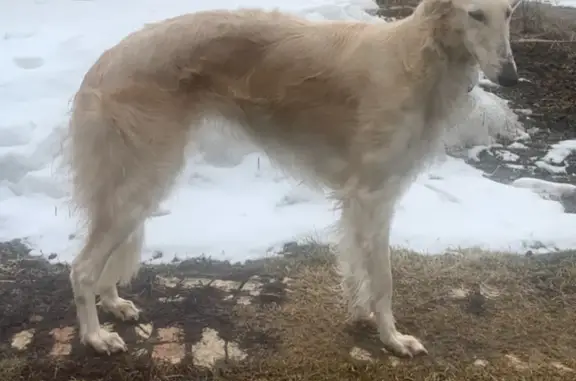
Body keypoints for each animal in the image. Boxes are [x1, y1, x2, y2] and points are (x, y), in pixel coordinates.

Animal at [66, 0, 520, 358]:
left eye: (510, 11)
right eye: (475, 14)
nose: (511, 77)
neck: (416, 58)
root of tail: (103, 63)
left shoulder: (360, 199)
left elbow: (357, 267)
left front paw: (361, 316)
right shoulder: (373, 194)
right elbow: (384, 279)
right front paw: (393, 339)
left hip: (138, 183)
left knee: (106, 258)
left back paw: (114, 303)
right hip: (141, 180)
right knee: (82, 268)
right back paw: (95, 336)